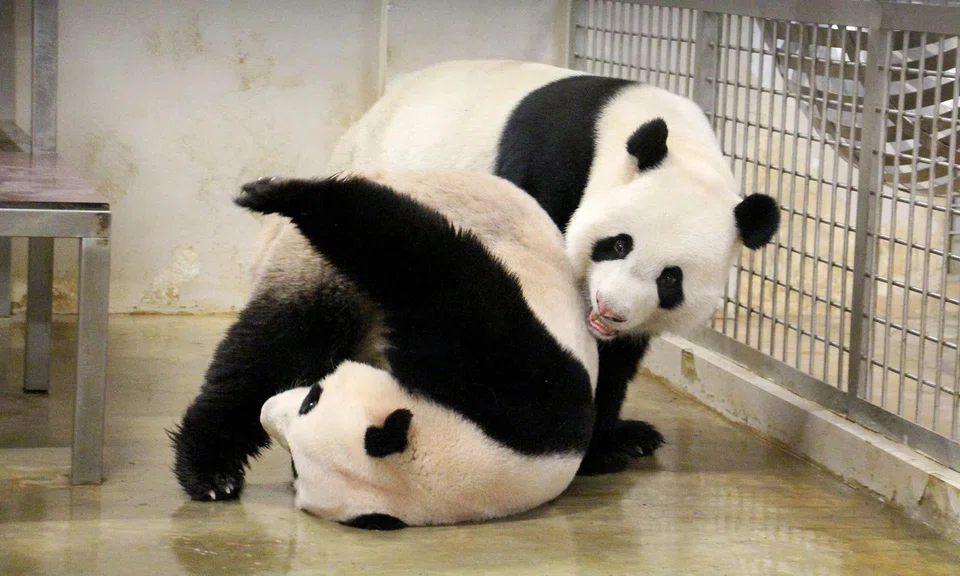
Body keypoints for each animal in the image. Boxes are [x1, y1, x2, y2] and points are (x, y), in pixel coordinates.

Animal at [171, 169, 600, 519]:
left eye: (310, 401)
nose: (270, 411)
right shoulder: (516, 377)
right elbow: (434, 274)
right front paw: (275, 192)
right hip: (320, 271)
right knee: (276, 349)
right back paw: (211, 471)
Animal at [320, 59, 781, 474]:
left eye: (670, 278)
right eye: (619, 244)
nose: (610, 309)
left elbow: (617, 358)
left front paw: (616, 440)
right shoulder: (552, 173)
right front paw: (583, 449)